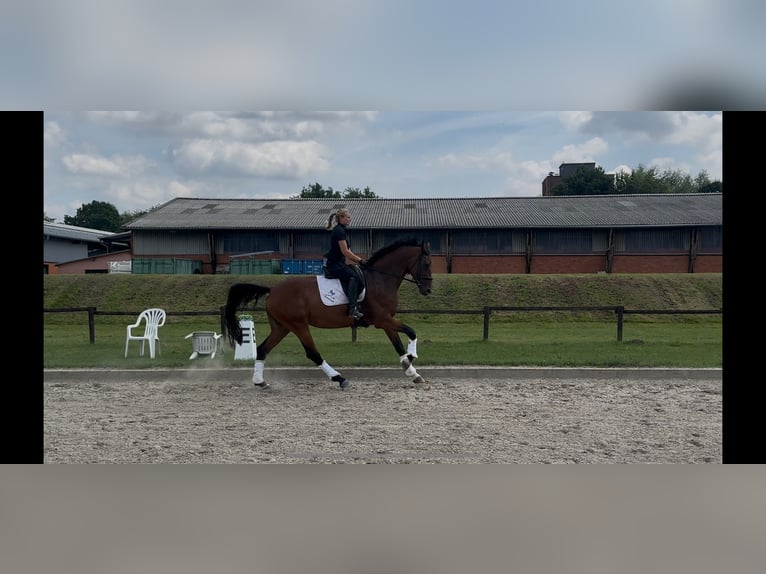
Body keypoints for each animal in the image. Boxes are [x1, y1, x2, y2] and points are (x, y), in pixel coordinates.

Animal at [224, 238, 433, 389]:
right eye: (427, 263)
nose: (428, 290)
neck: (380, 278)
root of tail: (272, 290)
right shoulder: (383, 320)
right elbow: (411, 332)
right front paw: (411, 358)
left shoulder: (387, 320)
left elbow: (398, 345)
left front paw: (412, 372)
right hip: (298, 325)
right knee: (312, 353)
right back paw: (340, 378)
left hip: (281, 327)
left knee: (262, 349)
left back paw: (260, 382)